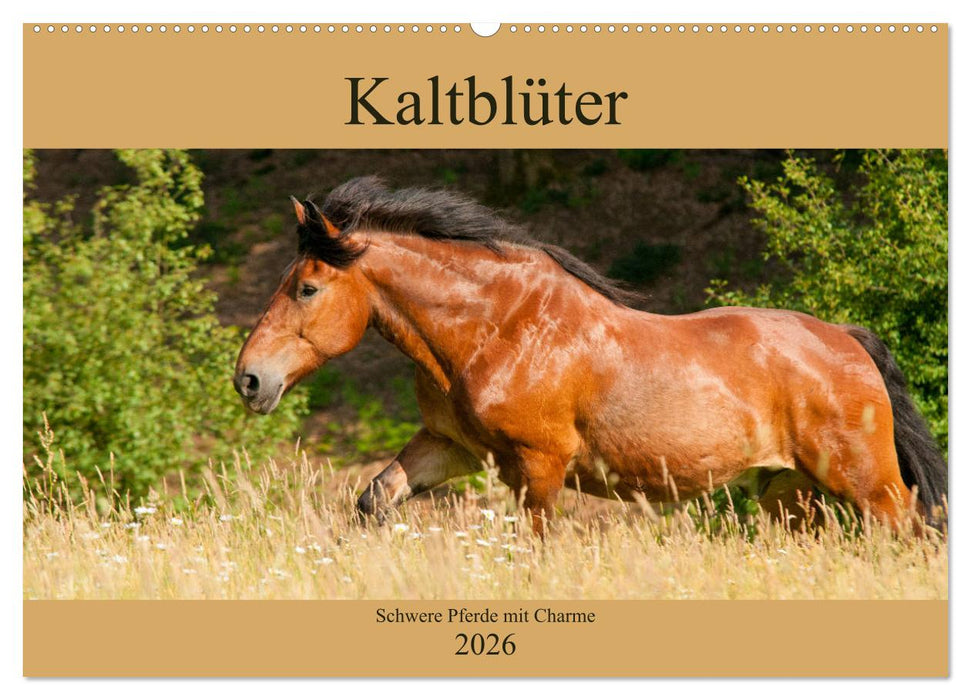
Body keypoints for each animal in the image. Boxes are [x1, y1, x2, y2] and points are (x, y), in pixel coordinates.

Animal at [233, 176, 947, 534]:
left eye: (306, 287)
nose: (249, 380)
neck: (498, 329)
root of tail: (847, 338)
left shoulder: (538, 466)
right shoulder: (451, 447)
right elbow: (375, 500)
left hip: (867, 484)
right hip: (792, 494)